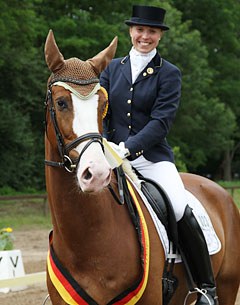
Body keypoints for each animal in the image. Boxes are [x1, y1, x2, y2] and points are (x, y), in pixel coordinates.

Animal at [44, 30, 239, 304]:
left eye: (102, 104)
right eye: (61, 103)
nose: (97, 174)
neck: (86, 242)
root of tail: (217, 188)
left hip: (228, 285)